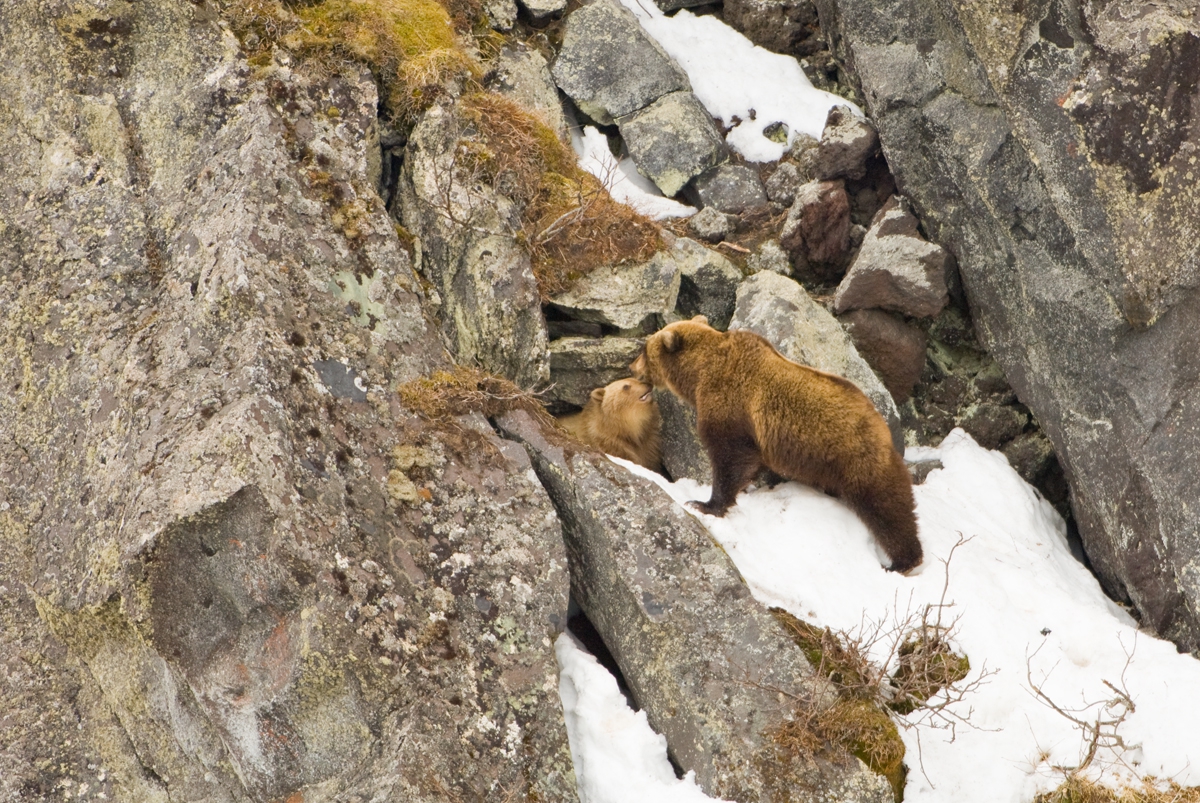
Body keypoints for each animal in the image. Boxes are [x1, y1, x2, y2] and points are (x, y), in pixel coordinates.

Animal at [633, 312, 921, 568]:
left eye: (645, 349)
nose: (632, 366)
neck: (699, 374)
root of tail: (882, 422)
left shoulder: (731, 406)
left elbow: (731, 457)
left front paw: (703, 504)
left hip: (856, 456)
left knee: (887, 504)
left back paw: (903, 560)